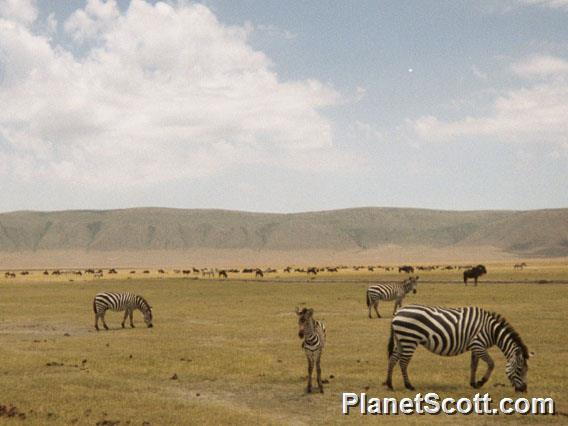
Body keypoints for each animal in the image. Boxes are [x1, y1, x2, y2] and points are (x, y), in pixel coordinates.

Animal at [382, 304, 532, 392]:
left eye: (526, 370)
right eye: (520, 369)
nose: (524, 390)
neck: (492, 331)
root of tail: (398, 312)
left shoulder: (475, 347)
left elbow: (474, 366)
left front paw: (473, 384)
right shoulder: (478, 345)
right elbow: (491, 363)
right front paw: (481, 382)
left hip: (401, 340)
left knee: (393, 359)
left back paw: (389, 384)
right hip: (409, 340)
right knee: (403, 362)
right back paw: (409, 385)